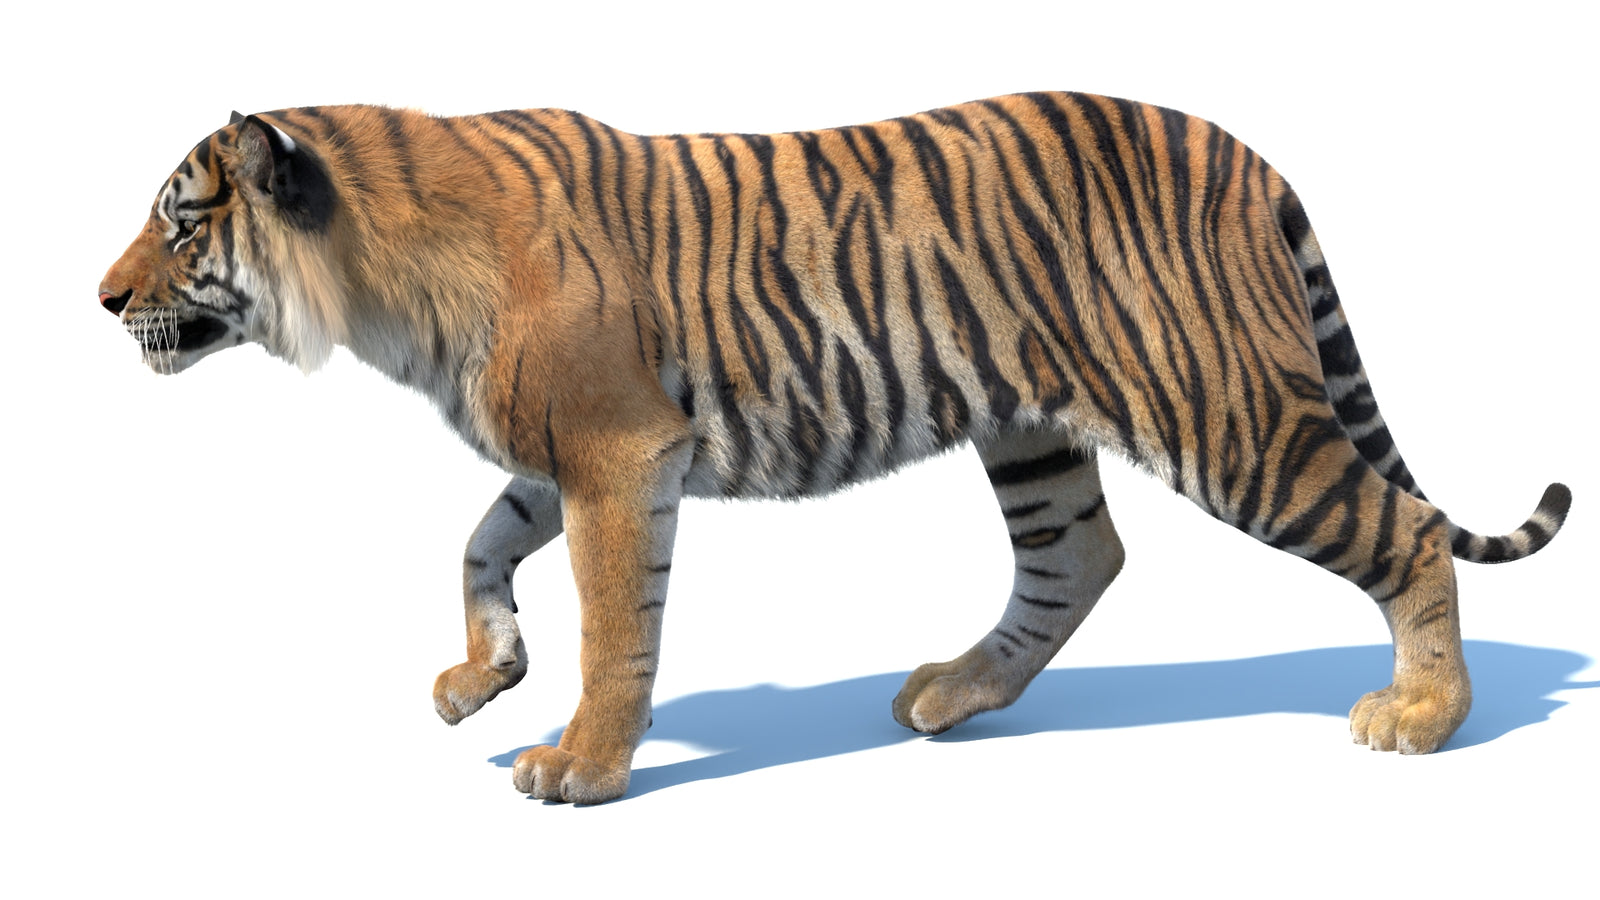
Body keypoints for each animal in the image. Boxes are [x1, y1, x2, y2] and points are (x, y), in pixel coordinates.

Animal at [100, 93, 1571, 804]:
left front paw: (581, 764)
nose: (102, 299)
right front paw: (481, 678)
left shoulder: (620, 452)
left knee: (1401, 531)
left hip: (1229, 414)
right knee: (1078, 560)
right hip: (1031, 431)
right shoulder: (562, 448)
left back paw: (1423, 719)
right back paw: (953, 694)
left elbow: (613, 623)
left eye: (180, 222)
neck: (376, 282)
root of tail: (1249, 155)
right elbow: (476, 547)